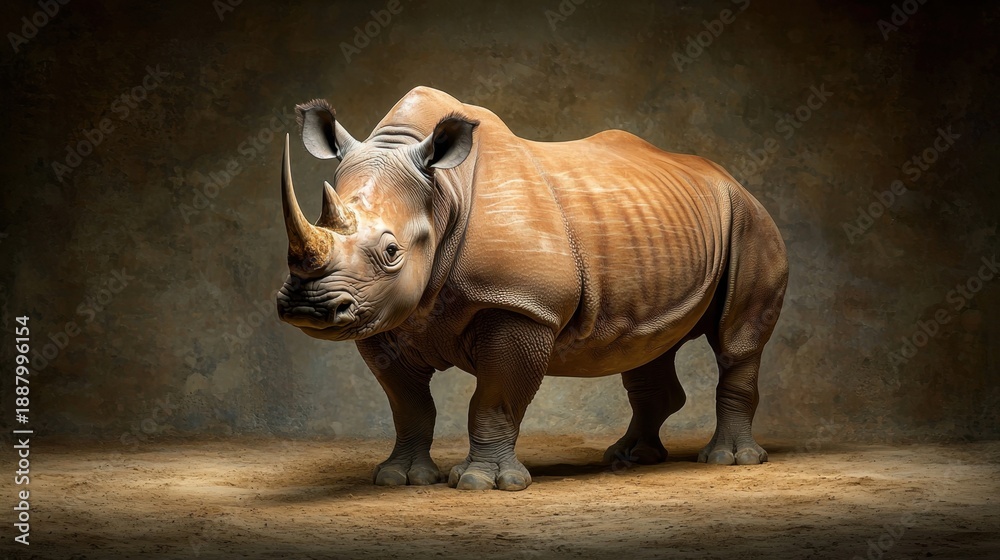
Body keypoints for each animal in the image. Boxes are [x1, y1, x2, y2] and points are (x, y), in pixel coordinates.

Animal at [276, 86, 788, 491]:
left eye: (391, 251)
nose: (308, 307)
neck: (443, 195)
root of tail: (731, 178)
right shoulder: (383, 314)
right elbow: (408, 404)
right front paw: (399, 478)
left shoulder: (522, 305)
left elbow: (494, 398)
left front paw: (481, 483)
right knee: (647, 344)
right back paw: (629, 457)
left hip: (750, 221)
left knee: (736, 342)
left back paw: (729, 459)